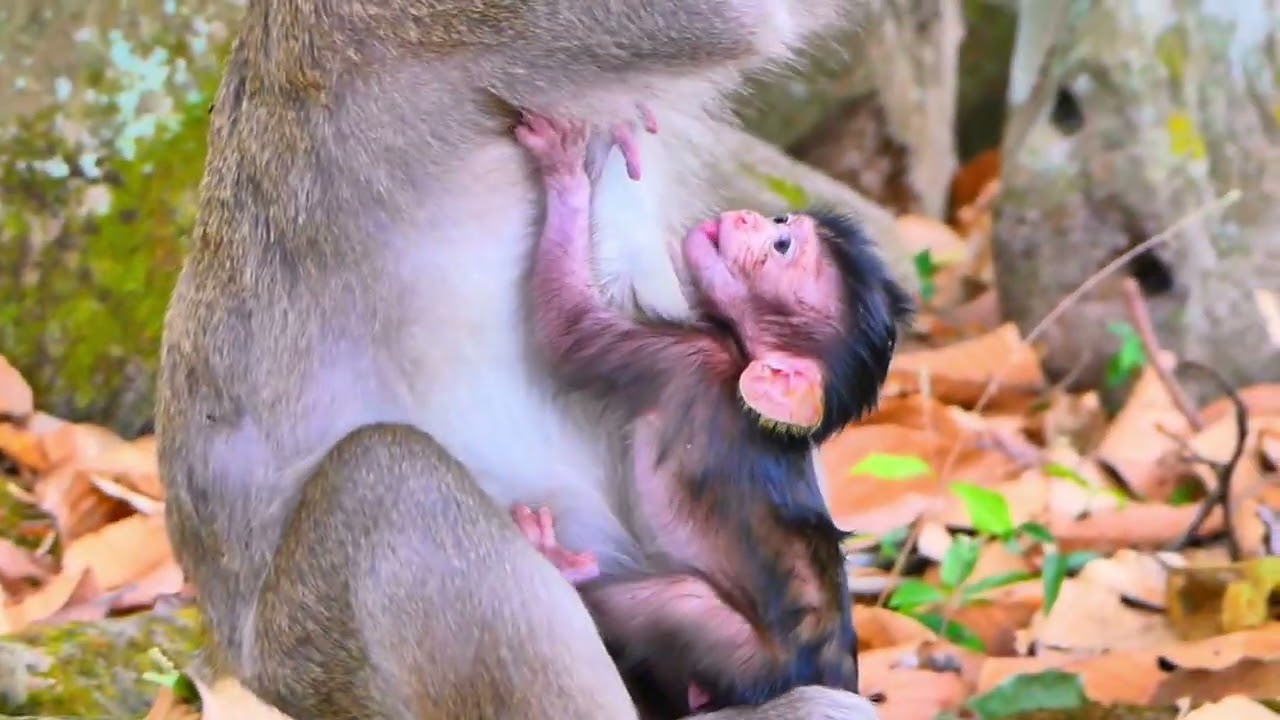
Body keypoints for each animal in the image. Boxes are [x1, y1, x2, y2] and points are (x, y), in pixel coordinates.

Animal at [506, 111, 911, 718]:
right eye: (781, 220)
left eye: (781, 243)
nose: (748, 215)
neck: (741, 356)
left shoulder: (682, 361)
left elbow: (565, 327)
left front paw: (566, 171)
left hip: (744, 658)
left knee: (679, 603)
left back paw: (563, 564)